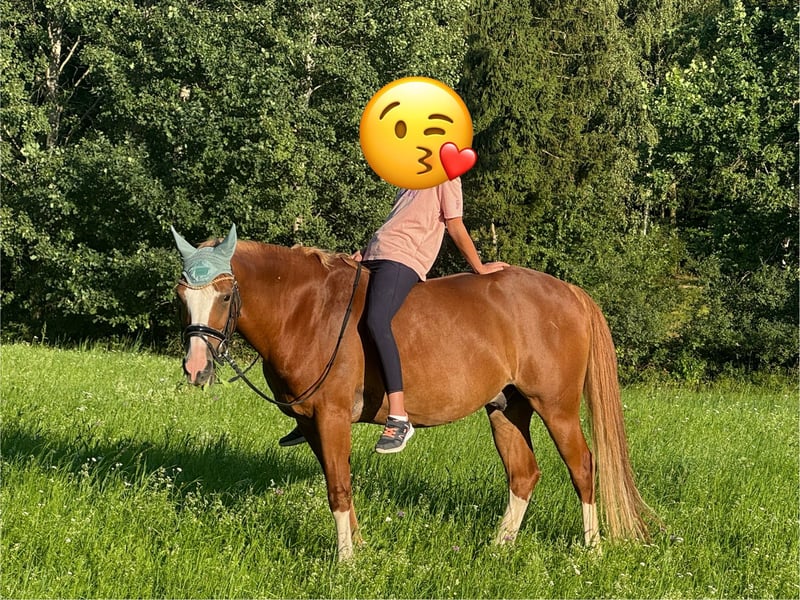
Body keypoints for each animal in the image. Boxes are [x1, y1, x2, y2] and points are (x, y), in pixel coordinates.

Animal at [171, 224, 655, 560]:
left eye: (225, 294)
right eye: (180, 295)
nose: (196, 368)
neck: (306, 310)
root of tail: (569, 292)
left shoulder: (331, 417)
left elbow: (338, 489)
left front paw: (346, 562)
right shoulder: (311, 425)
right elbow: (338, 481)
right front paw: (360, 547)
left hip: (556, 408)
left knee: (583, 467)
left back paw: (591, 549)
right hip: (506, 409)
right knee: (524, 474)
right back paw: (498, 548)